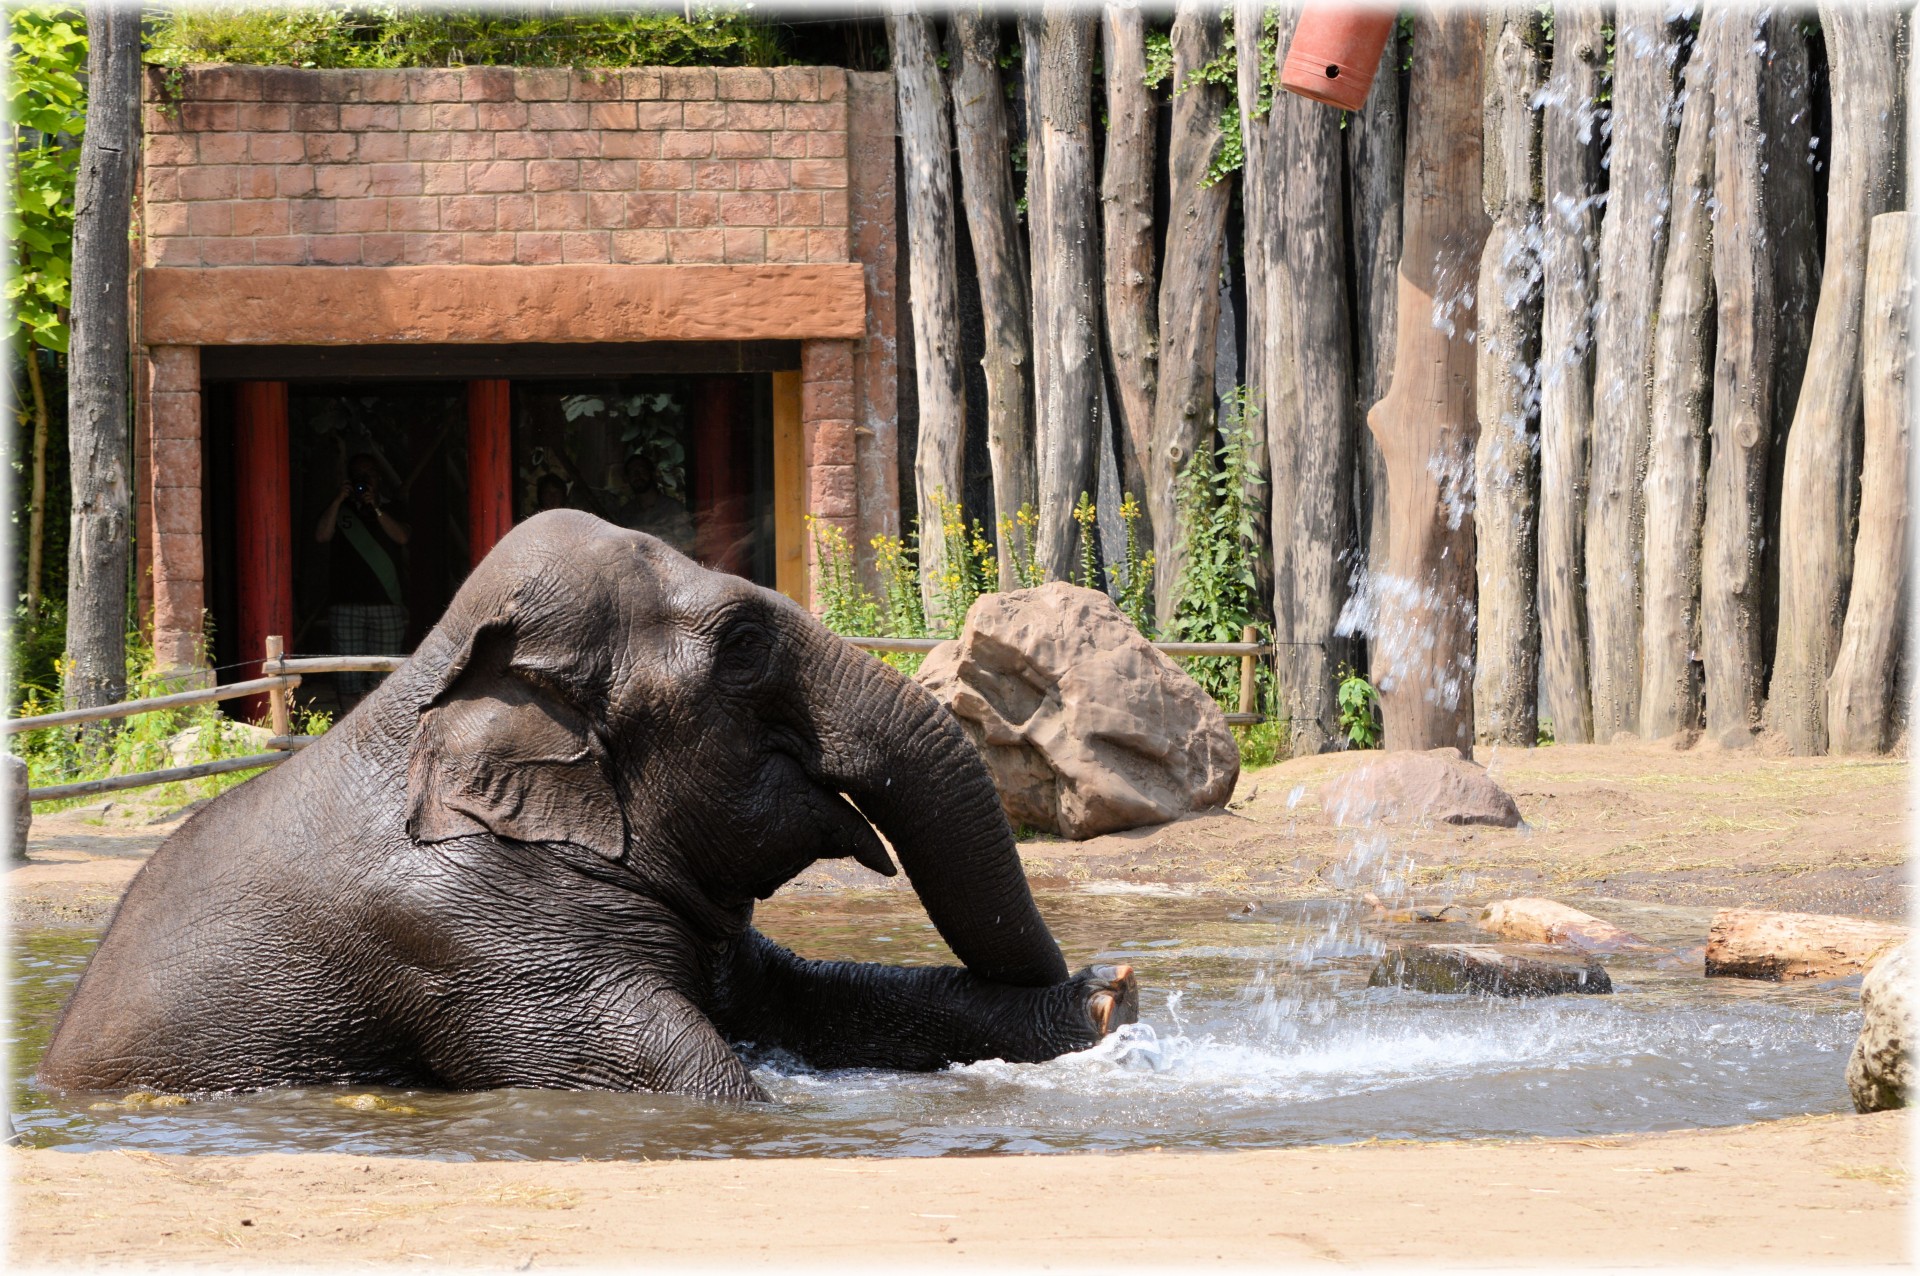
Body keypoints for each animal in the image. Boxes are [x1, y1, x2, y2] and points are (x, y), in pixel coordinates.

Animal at [41, 514, 1136, 1097]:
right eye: (742, 645)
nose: (1109, 970)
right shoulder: (474, 949)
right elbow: (700, 1079)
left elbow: (816, 999)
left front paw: (1104, 996)